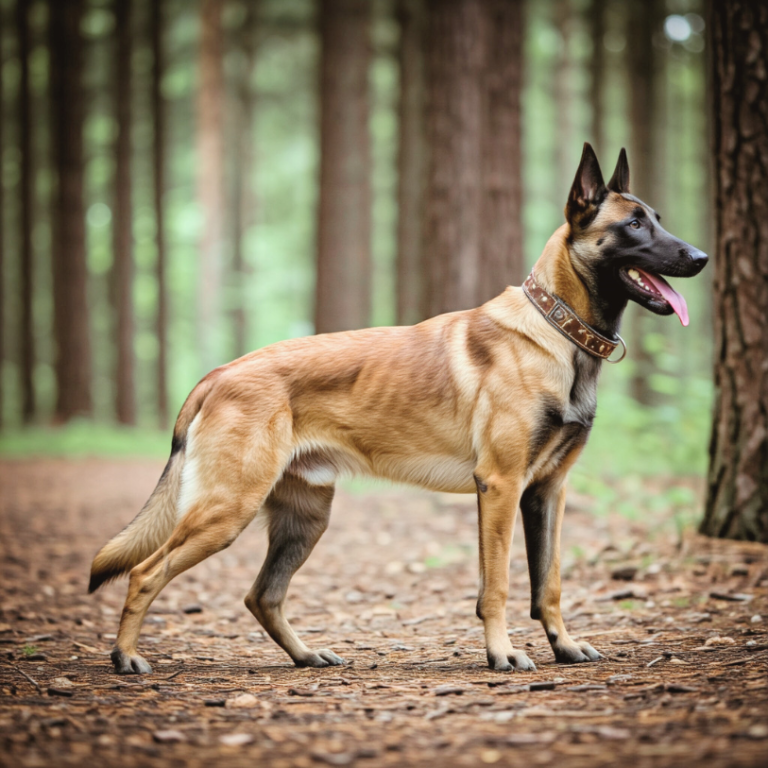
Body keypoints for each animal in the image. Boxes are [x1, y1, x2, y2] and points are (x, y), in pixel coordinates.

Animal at [90, 142, 708, 672]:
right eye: (633, 225)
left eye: (657, 218)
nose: (701, 256)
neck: (556, 330)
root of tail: (219, 373)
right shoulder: (501, 486)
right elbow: (499, 584)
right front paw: (502, 653)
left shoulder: (547, 492)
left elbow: (548, 583)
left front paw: (564, 644)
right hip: (227, 509)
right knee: (145, 573)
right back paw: (126, 657)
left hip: (304, 520)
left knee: (261, 596)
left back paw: (306, 656)